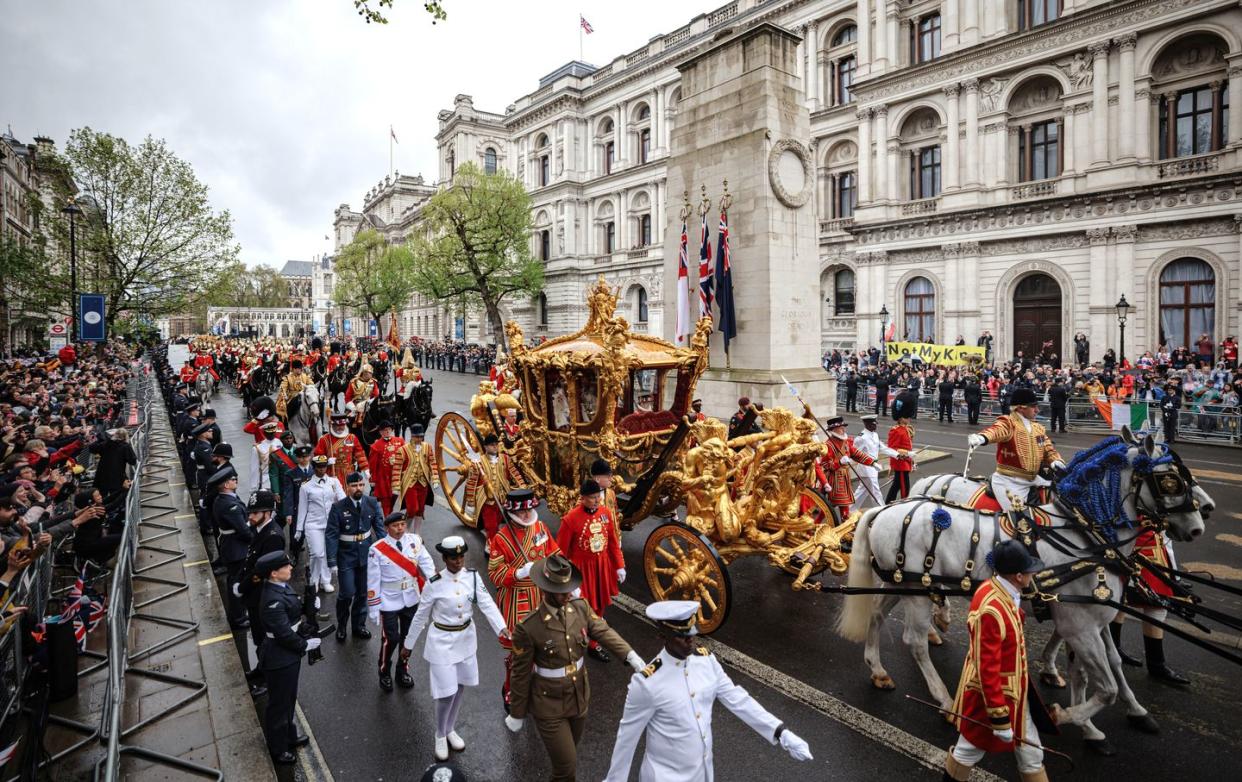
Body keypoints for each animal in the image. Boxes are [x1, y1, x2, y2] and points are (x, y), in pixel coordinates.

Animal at [834, 431, 1212, 749]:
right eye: (1170, 478)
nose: (1200, 522)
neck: (1082, 535)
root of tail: (885, 509)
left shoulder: (1089, 619)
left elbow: (1109, 667)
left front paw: (1114, 715)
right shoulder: (1078, 624)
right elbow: (1104, 687)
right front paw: (1065, 714)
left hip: (902, 582)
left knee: (877, 615)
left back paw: (880, 670)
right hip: (916, 587)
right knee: (912, 641)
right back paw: (944, 698)